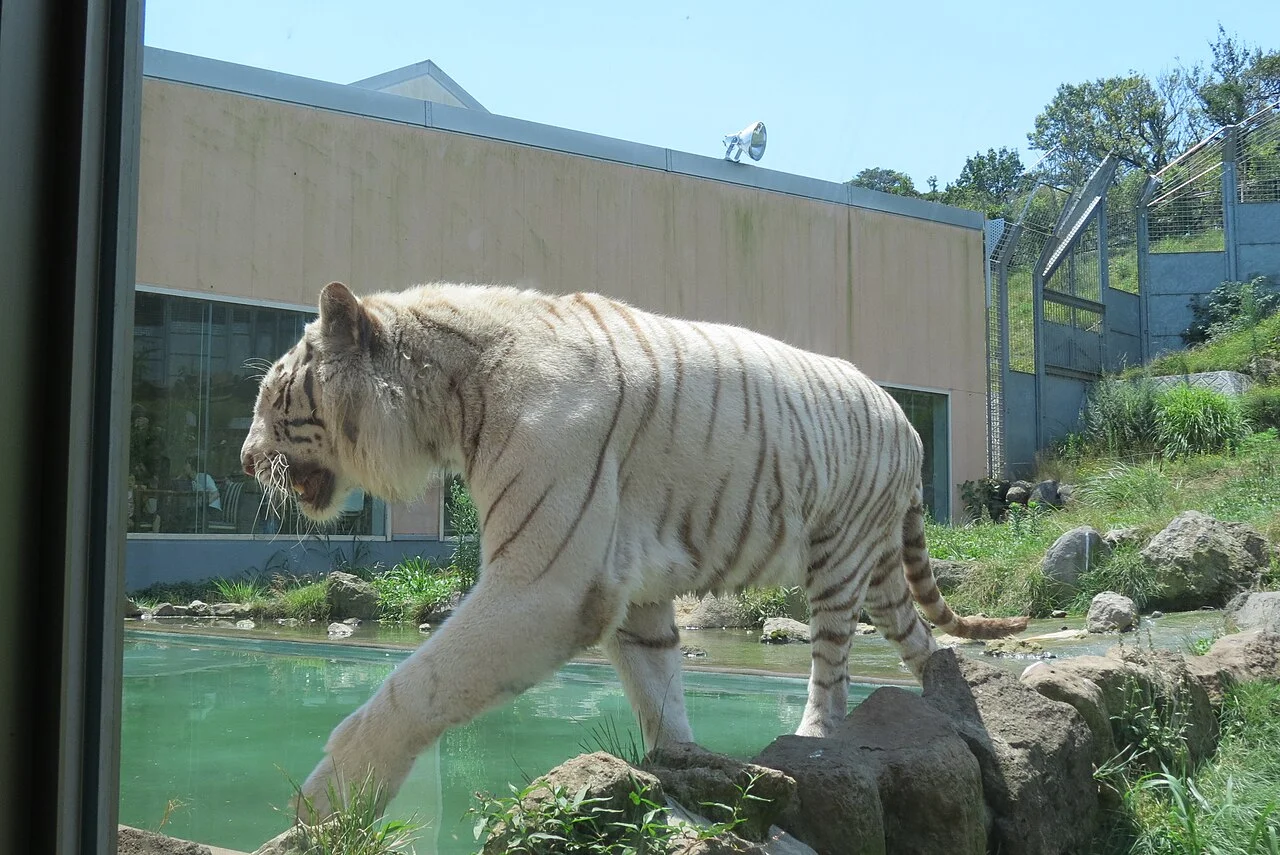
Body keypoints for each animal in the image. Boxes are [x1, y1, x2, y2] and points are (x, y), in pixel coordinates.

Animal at [239, 280, 1028, 820]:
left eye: (275, 397)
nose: (245, 461)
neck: (451, 398)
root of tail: (908, 419)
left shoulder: (546, 583)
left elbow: (414, 685)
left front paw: (327, 802)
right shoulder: (631, 583)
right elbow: (658, 685)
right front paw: (678, 765)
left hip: (835, 556)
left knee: (831, 668)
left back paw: (814, 733)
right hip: (879, 564)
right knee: (920, 636)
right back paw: (948, 698)